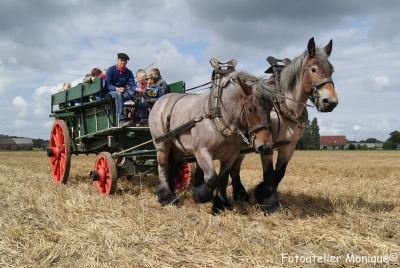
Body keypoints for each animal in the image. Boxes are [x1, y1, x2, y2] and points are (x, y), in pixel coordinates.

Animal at [220, 37, 340, 213]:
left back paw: (240, 194)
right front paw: (269, 204)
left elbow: (280, 173)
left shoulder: (289, 147)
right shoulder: (265, 145)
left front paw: (261, 194)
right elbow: (269, 173)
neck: (284, 107)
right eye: (313, 69)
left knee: (234, 169)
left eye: (331, 70)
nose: (330, 102)